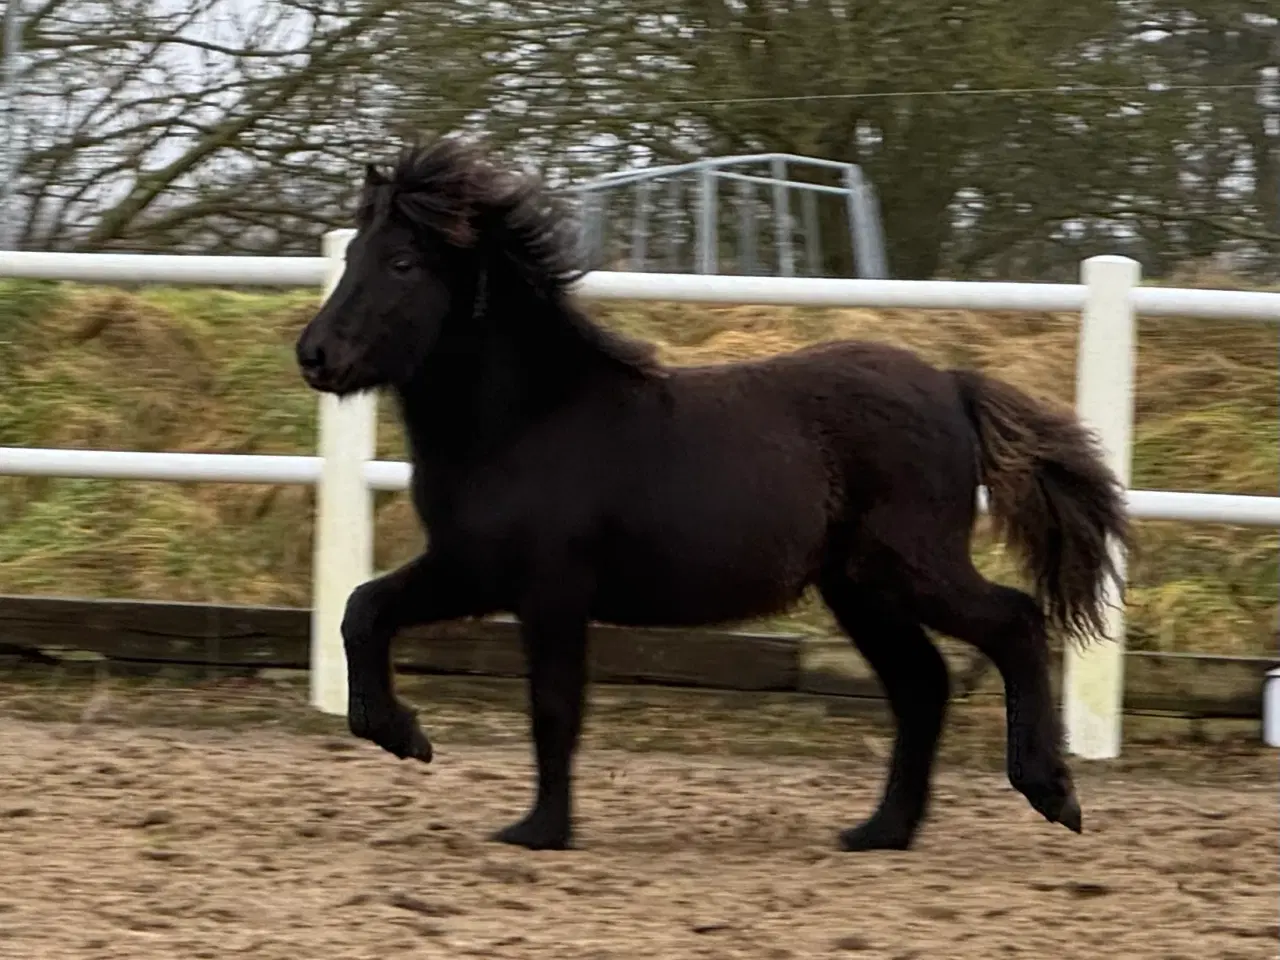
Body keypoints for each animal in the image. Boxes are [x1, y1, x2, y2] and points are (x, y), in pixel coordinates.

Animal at [294, 138, 1126, 855]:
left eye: (402, 262)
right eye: (353, 254)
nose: (315, 355)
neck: (528, 421)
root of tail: (952, 386)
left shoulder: (549, 590)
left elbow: (555, 706)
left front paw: (538, 831)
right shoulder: (470, 568)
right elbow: (363, 609)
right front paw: (403, 736)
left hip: (913, 567)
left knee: (1013, 623)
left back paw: (1052, 793)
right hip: (862, 588)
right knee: (922, 684)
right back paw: (880, 832)